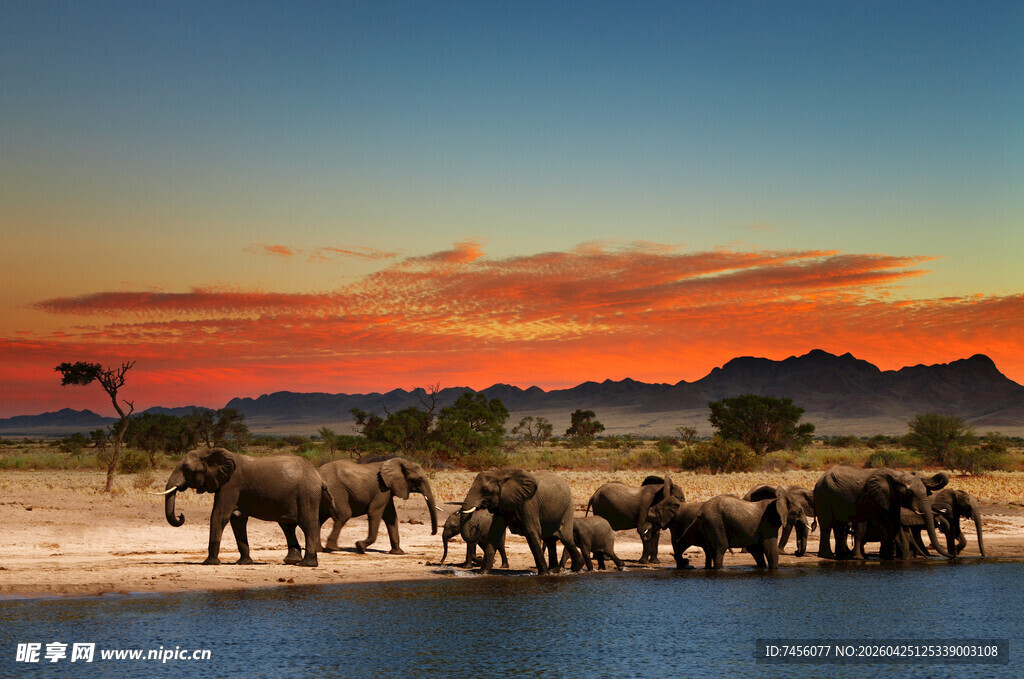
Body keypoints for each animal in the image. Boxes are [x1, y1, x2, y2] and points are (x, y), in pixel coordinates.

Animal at [159, 448, 335, 567]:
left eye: (187, 469)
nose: (181, 516)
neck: (211, 452)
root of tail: (319, 477)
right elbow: (237, 520)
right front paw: (244, 563)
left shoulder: (230, 485)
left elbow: (219, 515)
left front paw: (209, 563)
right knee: (287, 526)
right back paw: (291, 561)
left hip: (306, 493)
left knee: (307, 524)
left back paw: (307, 564)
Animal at [813, 465, 950, 560]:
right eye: (909, 493)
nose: (952, 556)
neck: (896, 475)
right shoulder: (875, 497)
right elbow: (884, 523)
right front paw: (889, 557)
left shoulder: (891, 498)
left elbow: (894, 523)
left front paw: (893, 558)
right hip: (823, 495)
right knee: (827, 525)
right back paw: (828, 556)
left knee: (839, 526)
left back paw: (841, 557)